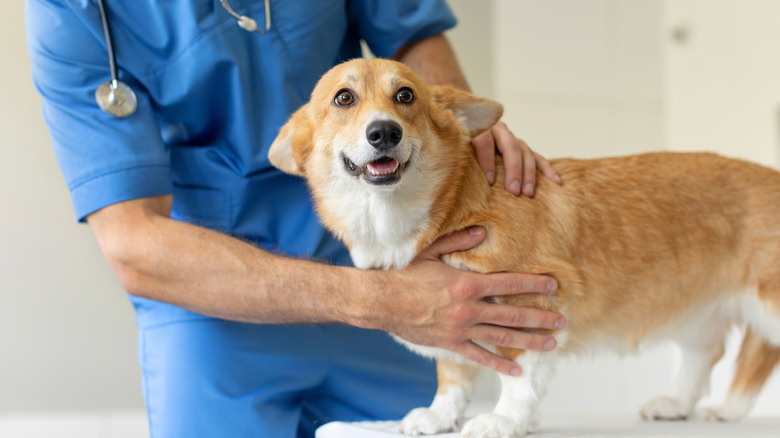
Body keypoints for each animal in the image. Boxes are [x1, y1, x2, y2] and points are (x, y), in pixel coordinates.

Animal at [268, 59, 780, 438]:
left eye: (406, 96)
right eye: (344, 98)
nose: (384, 132)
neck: (442, 207)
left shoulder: (532, 301)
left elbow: (516, 374)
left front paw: (503, 420)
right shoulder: (447, 314)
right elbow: (452, 373)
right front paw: (439, 415)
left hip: (768, 303)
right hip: (694, 308)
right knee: (706, 351)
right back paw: (679, 402)